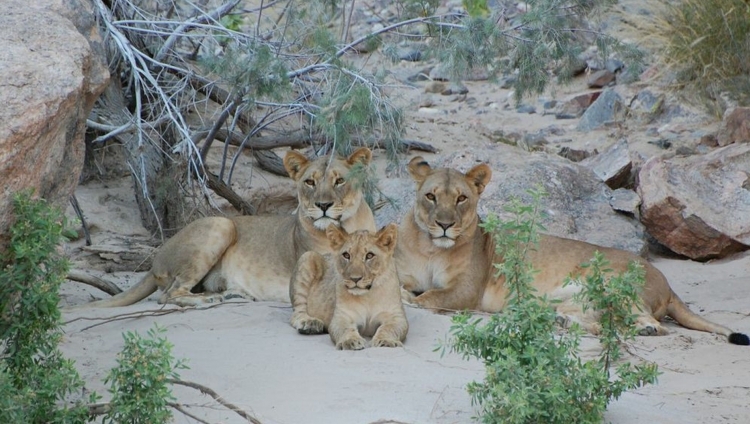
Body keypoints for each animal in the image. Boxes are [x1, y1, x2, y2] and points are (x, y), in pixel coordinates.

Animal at [75, 147, 376, 306]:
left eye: (339, 181)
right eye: (310, 182)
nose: (323, 205)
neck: (345, 228)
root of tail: (155, 261)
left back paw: (231, 293)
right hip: (221, 224)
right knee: (169, 295)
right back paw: (210, 300)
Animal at [396, 156, 748, 344]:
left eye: (461, 199)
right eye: (430, 196)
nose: (444, 225)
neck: (431, 249)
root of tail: (667, 282)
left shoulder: (466, 290)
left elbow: (430, 297)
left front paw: (409, 299)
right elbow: (406, 285)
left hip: (611, 283)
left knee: (644, 322)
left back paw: (645, 328)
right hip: (578, 297)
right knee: (600, 321)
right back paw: (565, 322)